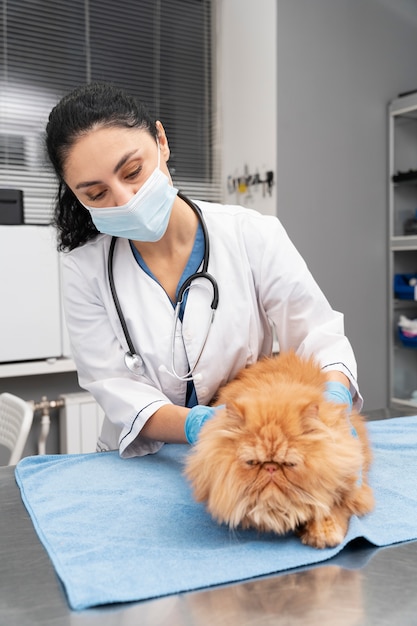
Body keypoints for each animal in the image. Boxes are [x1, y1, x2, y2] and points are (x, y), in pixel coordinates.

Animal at [184, 352, 372, 544]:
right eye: (252, 462)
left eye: (290, 464)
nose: (271, 468)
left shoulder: (353, 489)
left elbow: (333, 507)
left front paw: (324, 533)